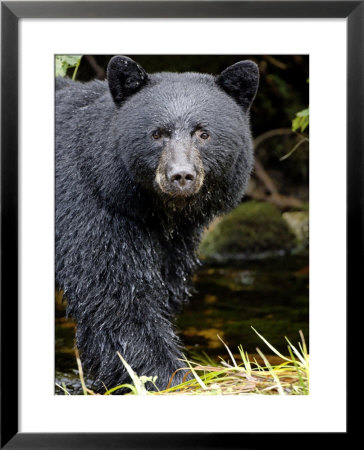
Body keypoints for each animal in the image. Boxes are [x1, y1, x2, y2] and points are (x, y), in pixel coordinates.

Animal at [55, 56, 258, 392]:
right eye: (157, 133)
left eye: (203, 133)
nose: (181, 175)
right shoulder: (91, 212)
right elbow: (114, 296)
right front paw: (171, 376)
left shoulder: (171, 243)